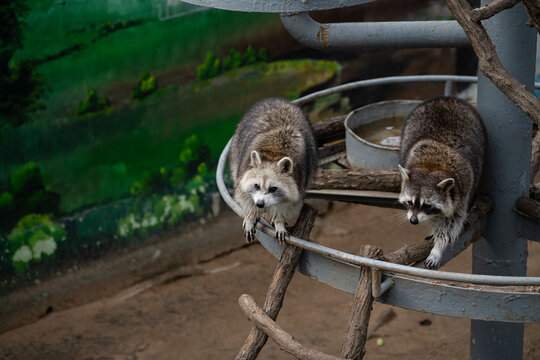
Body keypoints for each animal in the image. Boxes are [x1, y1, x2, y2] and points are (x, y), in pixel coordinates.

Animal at [228, 99, 316, 245]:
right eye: (257, 185)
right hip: (237, 145)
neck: (276, 154)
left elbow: (286, 204)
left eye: (273, 188)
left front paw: (279, 221)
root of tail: (278, 100)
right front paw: (251, 216)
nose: (260, 204)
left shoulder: (300, 178)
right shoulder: (244, 169)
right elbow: (244, 195)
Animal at [398, 97, 488, 268]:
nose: (413, 221)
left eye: (427, 205)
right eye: (409, 202)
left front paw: (438, 249)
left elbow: (451, 222)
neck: (432, 166)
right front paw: (434, 230)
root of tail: (446, 99)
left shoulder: (462, 190)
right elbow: (437, 219)